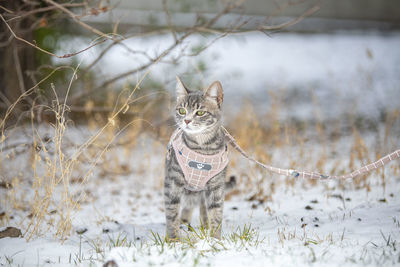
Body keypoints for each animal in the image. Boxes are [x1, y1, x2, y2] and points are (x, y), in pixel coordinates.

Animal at [164, 77, 236, 241]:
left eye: (200, 112)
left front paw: (215, 240)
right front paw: (173, 240)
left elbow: (216, 214)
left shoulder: (216, 186)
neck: (202, 148)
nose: (187, 121)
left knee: (202, 209)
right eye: (182, 110)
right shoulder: (173, 182)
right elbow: (172, 212)